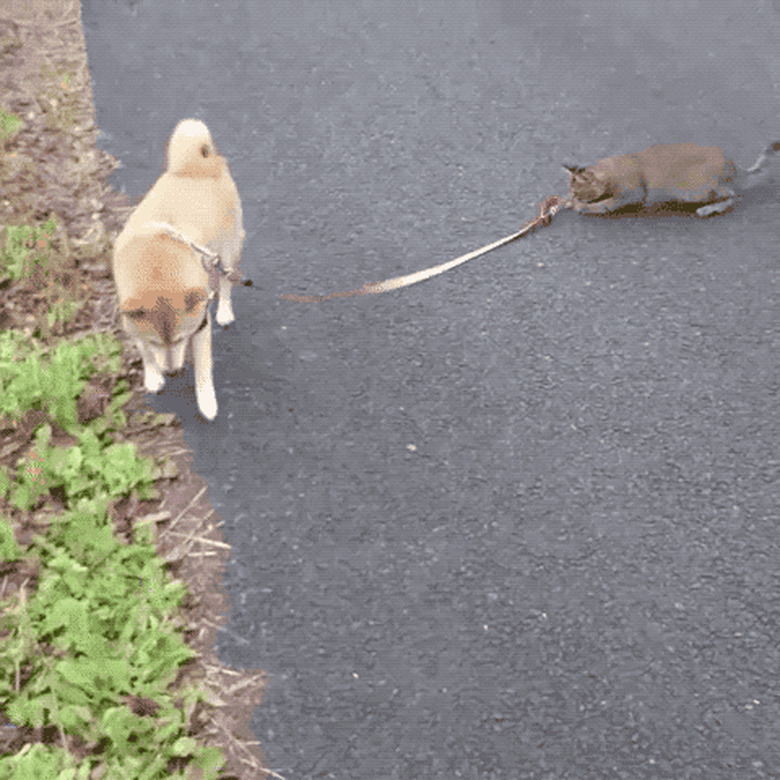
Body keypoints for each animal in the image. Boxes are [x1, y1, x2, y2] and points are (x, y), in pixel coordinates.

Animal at [111, 117, 242, 420]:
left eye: (181, 339)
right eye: (157, 342)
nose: (172, 372)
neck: (157, 266)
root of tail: (197, 165)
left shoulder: (201, 327)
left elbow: (204, 369)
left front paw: (207, 402)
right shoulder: (131, 320)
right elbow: (144, 352)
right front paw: (152, 376)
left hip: (229, 251)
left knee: (226, 283)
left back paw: (224, 310)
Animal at [568, 141, 780, 218]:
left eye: (576, 192)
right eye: (570, 192)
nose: (571, 198)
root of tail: (730, 161)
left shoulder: (632, 194)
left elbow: (605, 204)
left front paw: (583, 207)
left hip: (697, 189)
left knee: (733, 196)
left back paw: (709, 209)